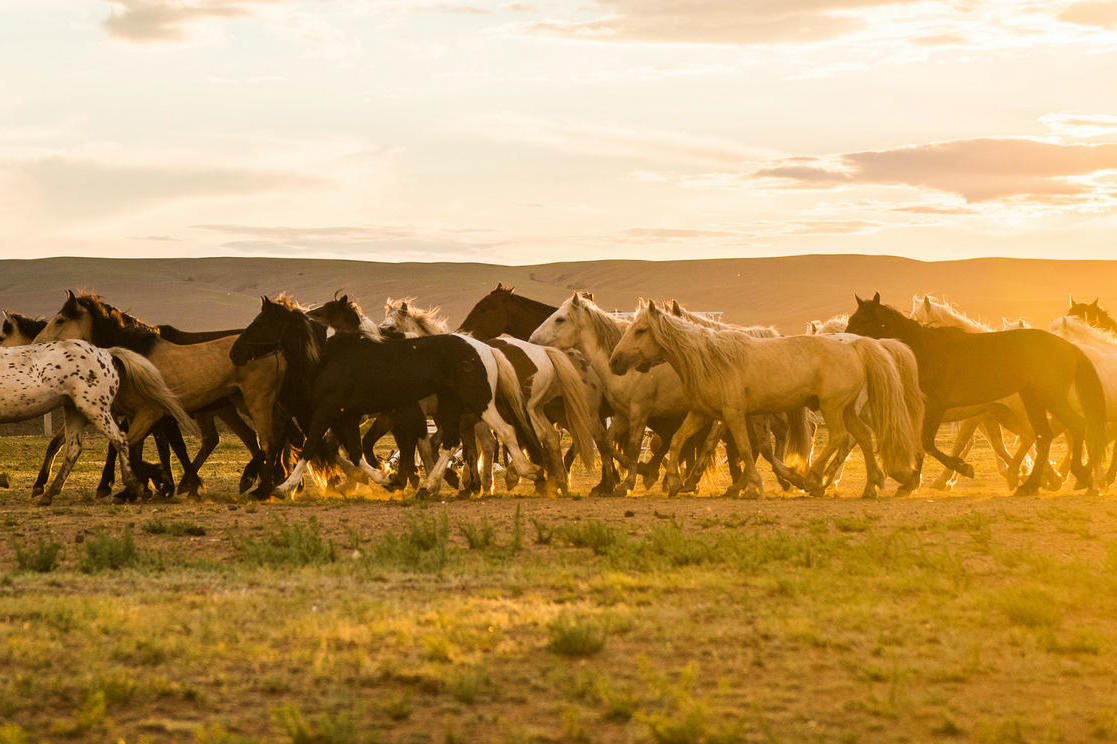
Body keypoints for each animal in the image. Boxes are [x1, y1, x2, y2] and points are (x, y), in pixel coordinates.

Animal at [0, 339, 196, 504]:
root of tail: (106, 353)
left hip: (94, 409)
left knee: (119, 439)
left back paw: (135, 486)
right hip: (75, 412)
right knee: (74, 449)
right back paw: (49, 493)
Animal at [36, 292, 288, 496]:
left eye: (60, 319)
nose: (38, 343)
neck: (135, 357)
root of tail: (275, 352)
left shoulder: (151, 414)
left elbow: (136, 447)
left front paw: (157, 483)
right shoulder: (140, 416)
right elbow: (140, 449)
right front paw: (153, 485)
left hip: (255, 403)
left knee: (269, 439)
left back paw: (264, 483)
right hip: (235, 404)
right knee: (256, 437)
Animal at [228, 294, 542, 498]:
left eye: (261, 323)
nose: (234, 353)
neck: (328, 357)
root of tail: (484, 348)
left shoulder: (330, 409)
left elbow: (312, 446)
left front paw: (283, 487)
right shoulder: (349, 416)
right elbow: (355, 452)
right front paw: (387, 479)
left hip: (479, 402)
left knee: (504, 432)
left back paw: (529, 473)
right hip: (452, 408)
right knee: (454, 443)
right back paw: (432, 486)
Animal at [612, 299, 915, 498]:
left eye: (640, 330)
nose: (615, 361)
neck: (710, 359)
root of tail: (857, 344)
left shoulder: (733, 414)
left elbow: (746, 449)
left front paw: (754, 486)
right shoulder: (702, 413)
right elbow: (677, 440)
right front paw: (676, 483)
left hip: (833, 408)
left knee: (841, 437)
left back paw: (814, 478)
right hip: (848, 409)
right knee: (862, 437)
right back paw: (870, 485)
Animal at [844, 292, 1108, 496]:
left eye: (863, 320)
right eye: (852, 319)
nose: (844, 341)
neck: (925, 350)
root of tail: (1070, 347)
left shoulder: (938, 407)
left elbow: (930, 443)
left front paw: (961, 469)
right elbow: (924, 445)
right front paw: (910, 484)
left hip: (1049, 397)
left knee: (1073, 427)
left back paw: (1080, 476)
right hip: (1032, 399)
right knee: (1044, 435)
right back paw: (1035, 483)